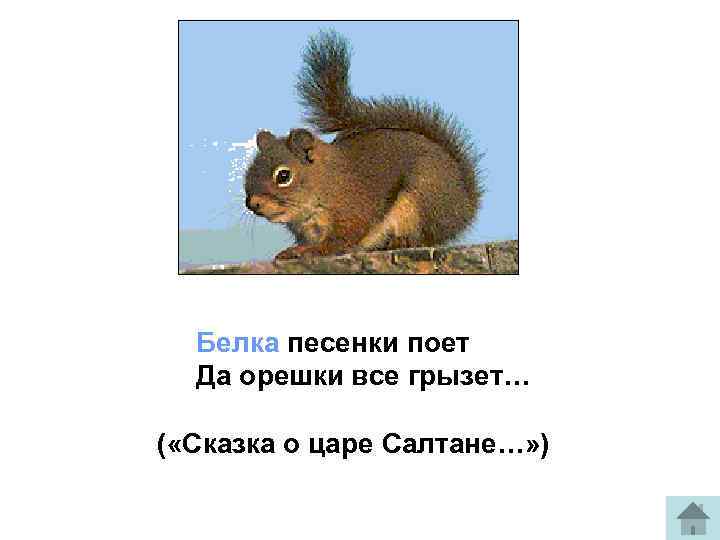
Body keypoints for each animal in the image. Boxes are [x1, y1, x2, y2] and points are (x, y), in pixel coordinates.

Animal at [244, 30, 482, 261]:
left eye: (284, 176)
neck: (324, 182)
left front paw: (308, 251)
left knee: (426, 236)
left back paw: (401, 241)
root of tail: (465, 206)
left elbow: (339, 240)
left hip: (423, 196)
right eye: (248, 172)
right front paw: (293, 249)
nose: (252, 204)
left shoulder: (352, 210)